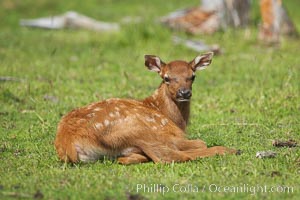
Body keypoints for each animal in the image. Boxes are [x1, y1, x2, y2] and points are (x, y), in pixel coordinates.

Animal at [55, 51, 236, 164]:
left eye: (192, 76)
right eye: (166, 78)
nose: (184, 93)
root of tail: (69, 143)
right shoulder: (166, 133)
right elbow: (200, 142)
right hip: (136, 129)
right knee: (167, 156)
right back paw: (230, 150)